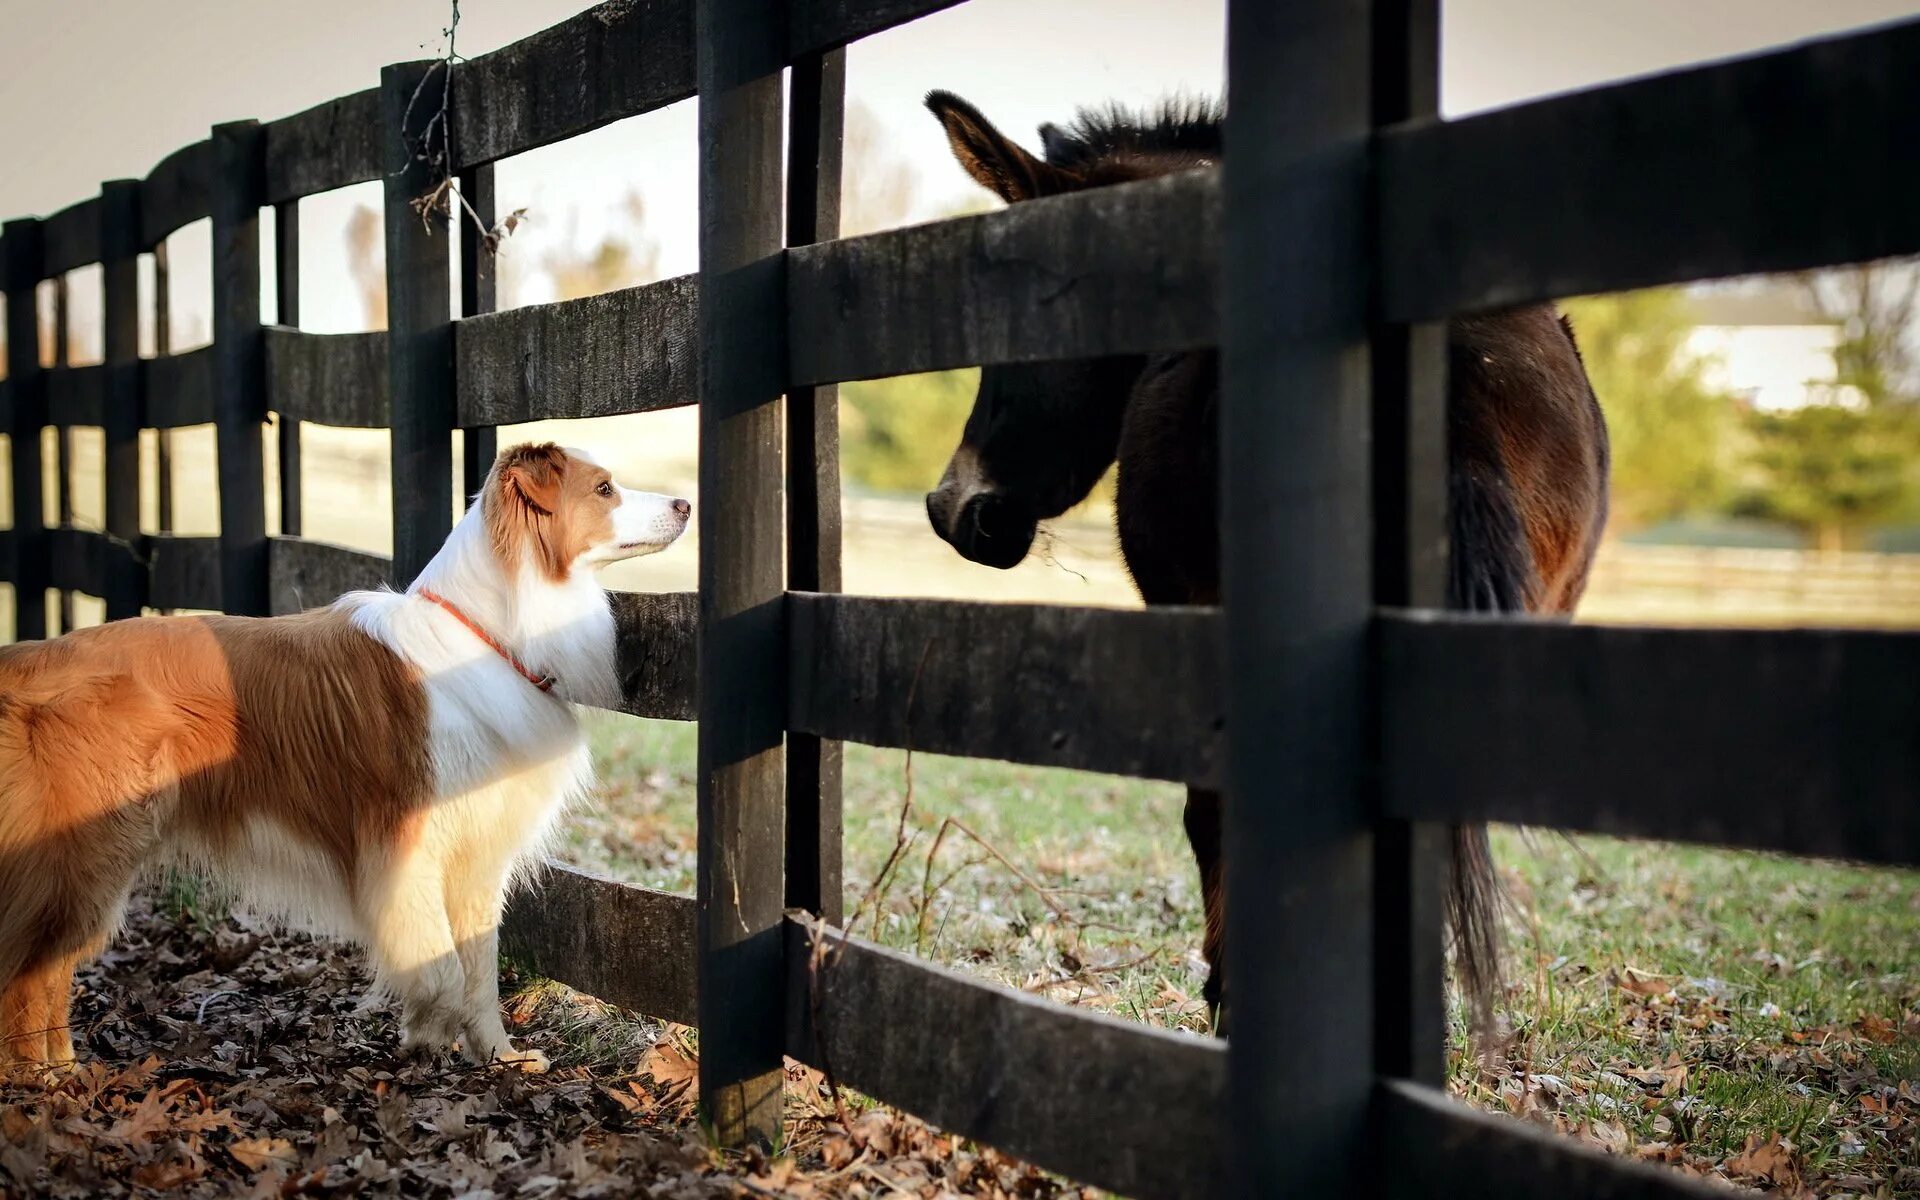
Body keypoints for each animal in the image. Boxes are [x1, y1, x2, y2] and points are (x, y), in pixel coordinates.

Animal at [0, 441, 691, 1075]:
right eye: (604, 488)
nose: (686, 504)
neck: (490, 635)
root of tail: (28, 662)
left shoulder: (474, 849)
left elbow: (479, 967)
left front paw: (494, 1054)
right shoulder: (404, 842)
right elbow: (441, 966)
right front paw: (427, 1032)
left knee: (44, 977)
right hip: (87, 858)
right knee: (31, 979)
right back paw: (47, 1087)